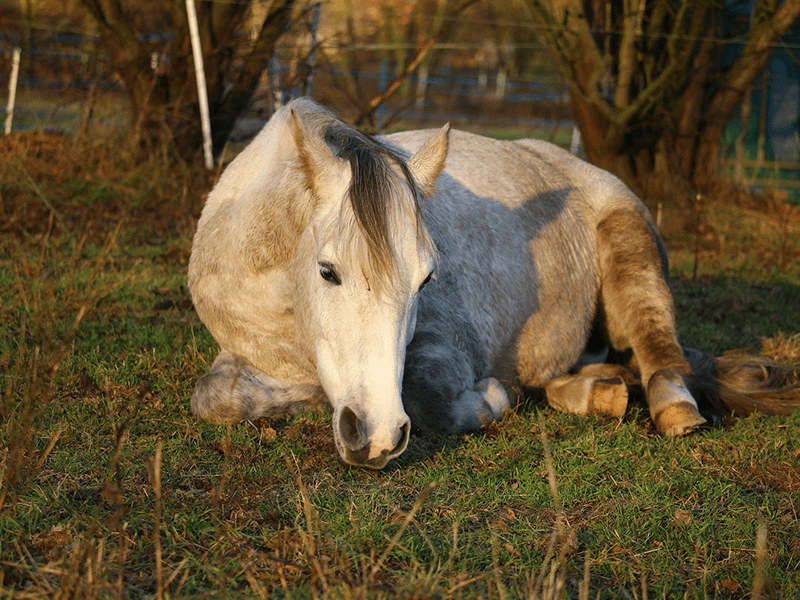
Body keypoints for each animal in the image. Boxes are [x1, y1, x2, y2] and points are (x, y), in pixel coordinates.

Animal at [187, 98, 798, 469]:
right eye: (327, 272)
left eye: (426, 281)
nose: (377, 436)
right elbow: (213, 399)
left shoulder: (445, 350)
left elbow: (431, 400)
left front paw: (496, 397)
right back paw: (598, 391)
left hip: (631, 254)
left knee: (658, 348)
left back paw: (672, 408)